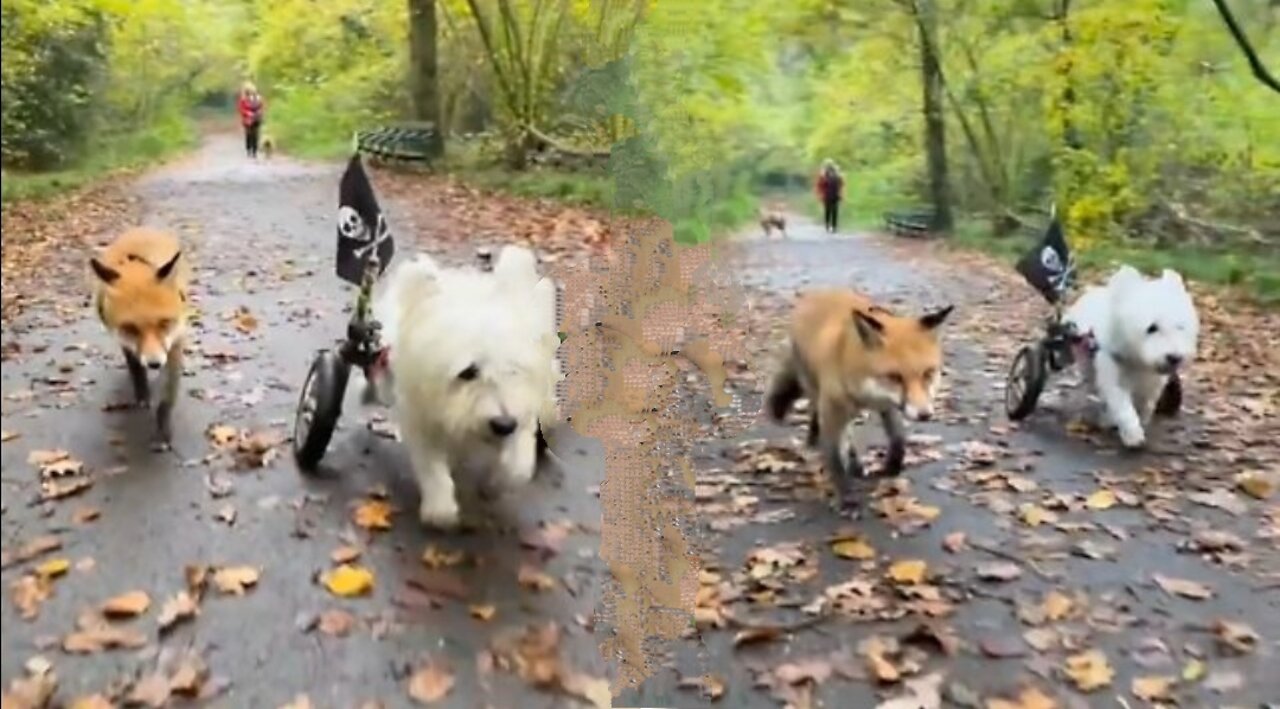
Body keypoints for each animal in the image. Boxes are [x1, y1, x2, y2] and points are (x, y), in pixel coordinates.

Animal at [90, 226, 190, 445]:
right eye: (131, 328)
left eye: (164, 323)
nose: (154, 364)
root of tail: (143, 228)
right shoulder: (125, 341)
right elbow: (135, 368)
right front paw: (143, 393)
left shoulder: (175, 341)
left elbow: (167, 397)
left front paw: (163, 431)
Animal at [366, 245, 555, 527]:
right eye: (468, 372)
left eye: (513, 369)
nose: (503, 425)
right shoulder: (420, 416)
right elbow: (430, 463)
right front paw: (439, 508)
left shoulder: (523, 413)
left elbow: (518, 464)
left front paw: (495, 484)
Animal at [757, 286, 952, 506]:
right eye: (895, 377)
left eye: (928, 373)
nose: (925, 414)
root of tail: (818, 291)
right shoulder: (833, 411)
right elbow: (835, 458)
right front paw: (847, 497)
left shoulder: (888, 405)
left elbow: (899, 439)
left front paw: (892, 466)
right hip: (816, 390)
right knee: (818, 416)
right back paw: (819, 442)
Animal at [1059, 264, 1198, 447]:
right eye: (1151, 327)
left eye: (1180, 327)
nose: (1174, 357)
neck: (1138, 361)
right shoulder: (1112, 370)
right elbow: (1121, 404)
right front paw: (1132, 434)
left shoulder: (1155, 381)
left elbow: (1147, 401)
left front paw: (1143, 417)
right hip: (1086, 361)